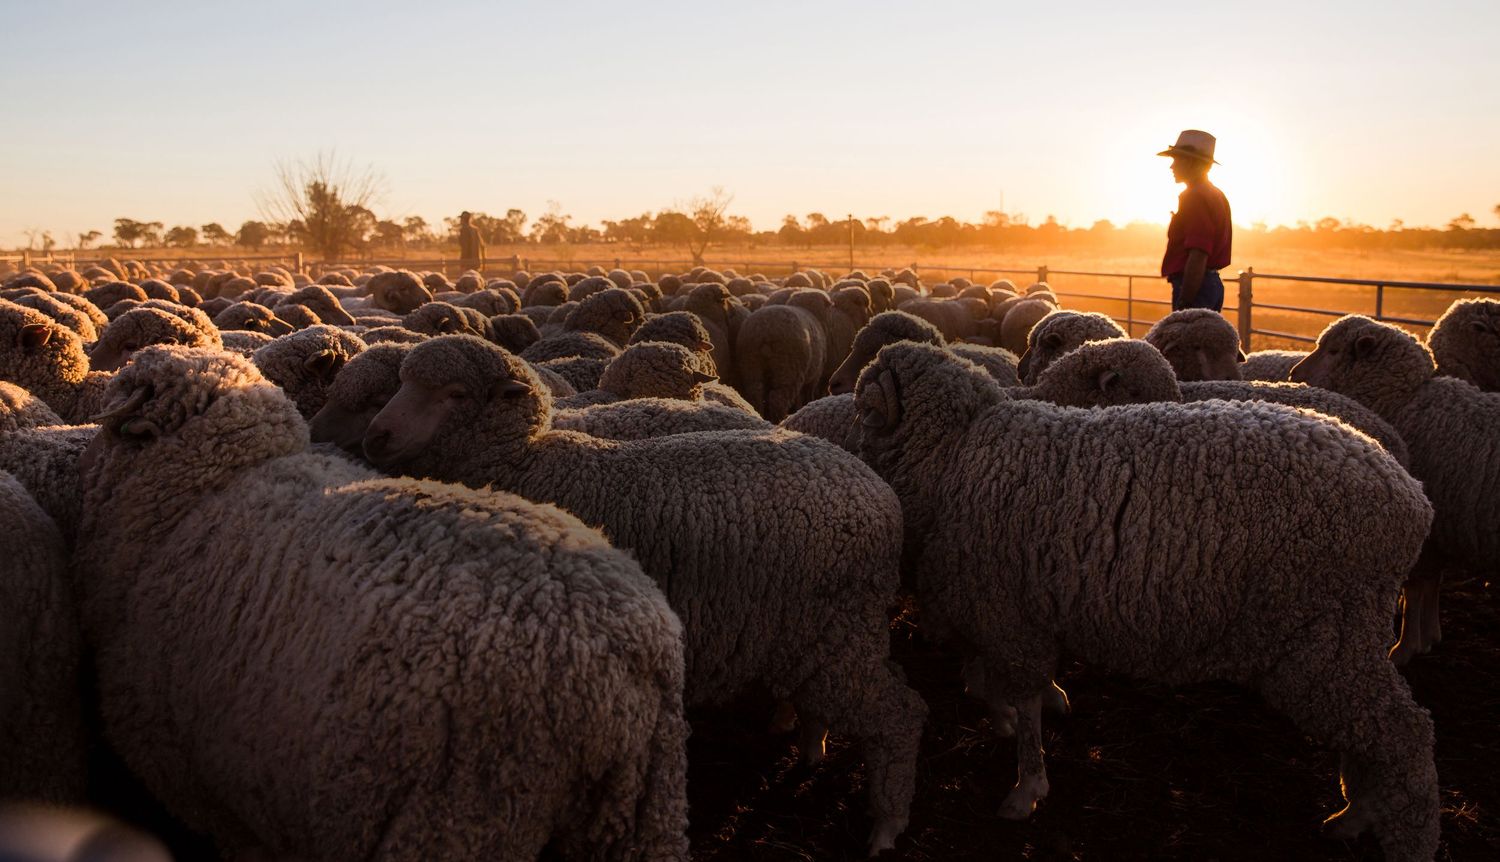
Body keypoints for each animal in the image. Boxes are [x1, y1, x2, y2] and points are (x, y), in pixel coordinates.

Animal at [362, 335, 928, 854]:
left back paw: (885, 827)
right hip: (816, 635)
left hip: (839, 628)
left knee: (899, 714)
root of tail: (883, 499)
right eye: (403, 384)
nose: (376, 435)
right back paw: (810, 744)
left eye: (454, 394)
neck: (524, 463)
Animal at [854, 341, 1438, 859]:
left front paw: (1026, 789)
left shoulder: (1010, 614)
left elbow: (1026, 703)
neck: (954, 454)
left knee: (1404, 732)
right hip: (1343, 636)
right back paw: (1355, 815)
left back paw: (1400, 837)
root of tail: (1413, 497)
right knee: (1372, 730)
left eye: (865, 405)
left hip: (1319, 637)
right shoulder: (1014, 612)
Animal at [1291, 315, 1500, 666]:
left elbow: (1417, 588)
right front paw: (1431, 634)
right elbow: (1431, 584)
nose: (1293, 374)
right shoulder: (1435, 535)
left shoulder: (1429, 529)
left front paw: (1407, 646)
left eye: (1332, 351)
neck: (1403, 401)